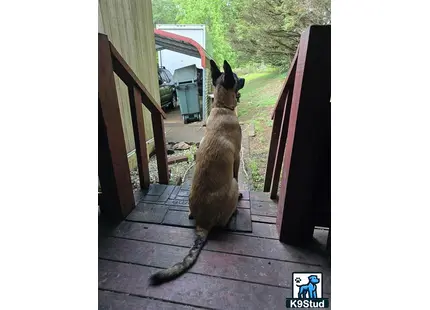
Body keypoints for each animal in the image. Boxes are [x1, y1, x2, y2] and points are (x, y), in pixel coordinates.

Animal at [149, 60, 245, 286]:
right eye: (237, 78)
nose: (244, 79)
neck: (221, 108)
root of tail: (203, 223)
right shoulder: (237, 158)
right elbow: (237, 173)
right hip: (232, 186)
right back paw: (233, 211)